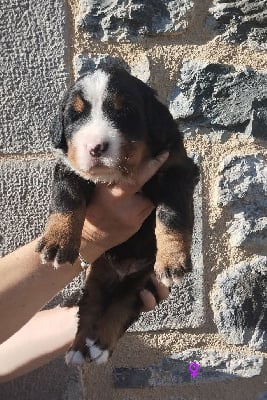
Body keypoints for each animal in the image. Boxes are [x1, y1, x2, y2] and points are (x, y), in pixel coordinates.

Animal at [36, 68, 200, 366]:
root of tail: (122, 271)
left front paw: (172, 260)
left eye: (124, 112)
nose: (95, 147)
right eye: (75, 116)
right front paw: (57, 242)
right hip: (97, 276)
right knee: (89, 308)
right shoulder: (69, 169)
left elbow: (172, 217)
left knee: (123, 308)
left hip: (144, 282)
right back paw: (79, 348)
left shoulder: (175, 172)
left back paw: (100, 345)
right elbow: (66, 202)